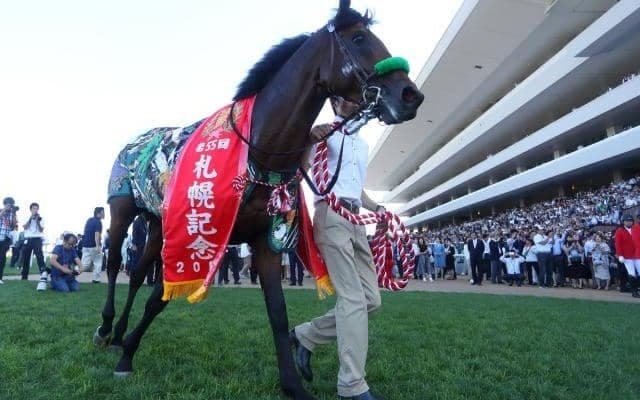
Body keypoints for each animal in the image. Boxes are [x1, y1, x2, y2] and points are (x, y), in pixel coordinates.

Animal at [93, 1, 424, 399]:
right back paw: (106, 329)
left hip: (157, 224)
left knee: (138, 272)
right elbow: (159, 296)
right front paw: (128, 357)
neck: (258, 149)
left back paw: (118, 333)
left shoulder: (266, 241)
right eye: (359, 38)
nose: (410, 95)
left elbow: (278, 313)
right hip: (123, 211)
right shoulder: (198, 236)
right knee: (116, 264)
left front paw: (293, 383)